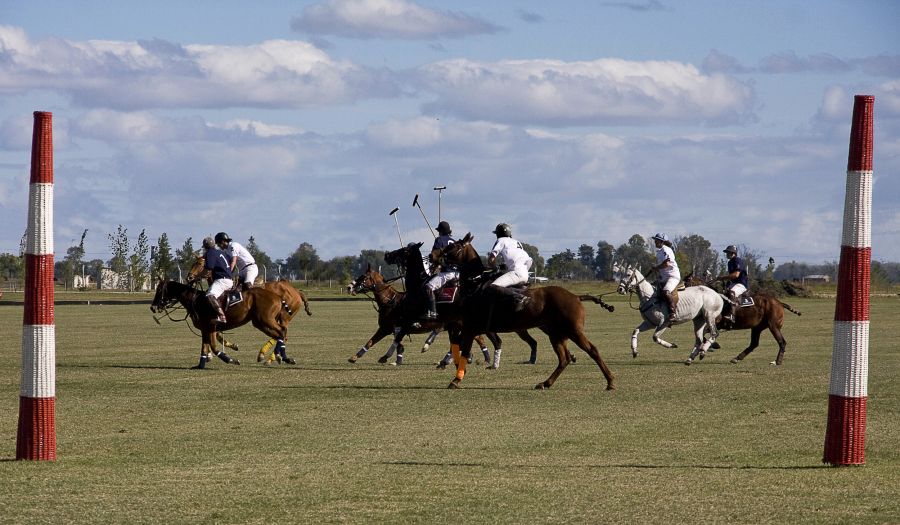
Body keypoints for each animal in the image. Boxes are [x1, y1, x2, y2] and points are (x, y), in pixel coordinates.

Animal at [150, 278, 292, 368]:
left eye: (159, 290)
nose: (153, 307)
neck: (195, 301)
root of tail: (278, 296)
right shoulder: (205, 329)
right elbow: (204, 347)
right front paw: (200, 365)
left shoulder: (211, 326)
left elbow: (213, 347)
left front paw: (231, 360)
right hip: (260, 322)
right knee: (281, 333)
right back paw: (281, 357)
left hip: (264, 320)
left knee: (281, 331)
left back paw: (279, 356)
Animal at [426, 233, 616, 388]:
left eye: (452, 246)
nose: (432, 256)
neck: (474, 286)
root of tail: (576, 296)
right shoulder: (466, 327)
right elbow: (458, 347)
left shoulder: (470, 327)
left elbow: (464, 351)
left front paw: (456, 379)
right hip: (555, 333)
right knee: (564, 359)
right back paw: (545, 383)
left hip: (572, 330)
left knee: (592, 350)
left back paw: (610, 382)